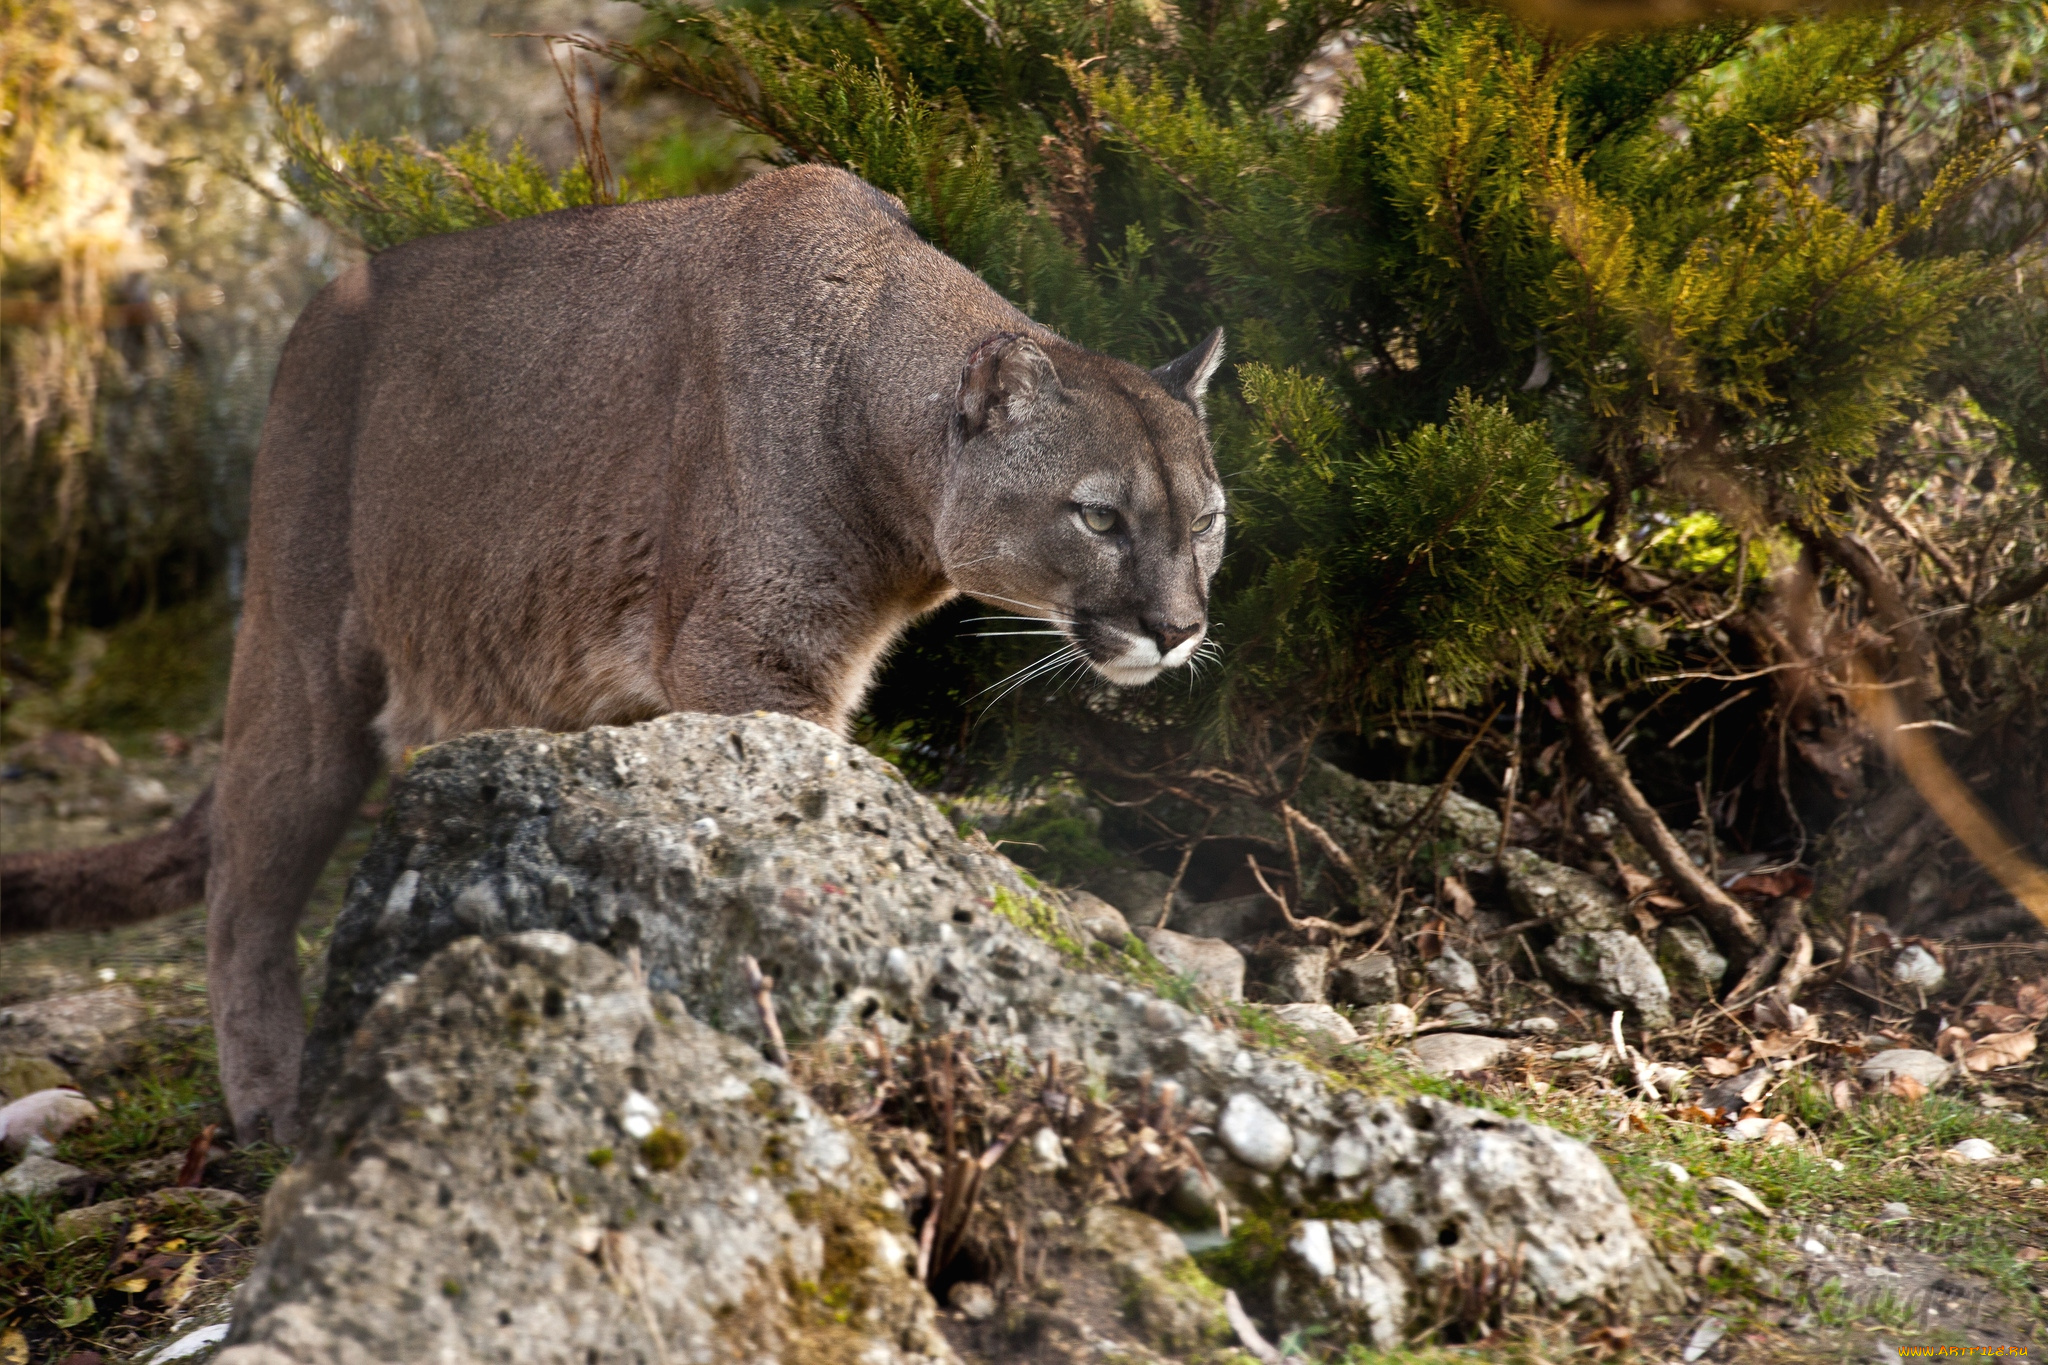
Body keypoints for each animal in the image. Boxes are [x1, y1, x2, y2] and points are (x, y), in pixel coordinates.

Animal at [0, 162, 1220, 1146]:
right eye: (1098, 517)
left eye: (1206, 520)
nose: (1177, 628)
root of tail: (311, 314)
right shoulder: (749, 662)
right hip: (305, 662)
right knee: (240, 889)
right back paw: (274, 1106)